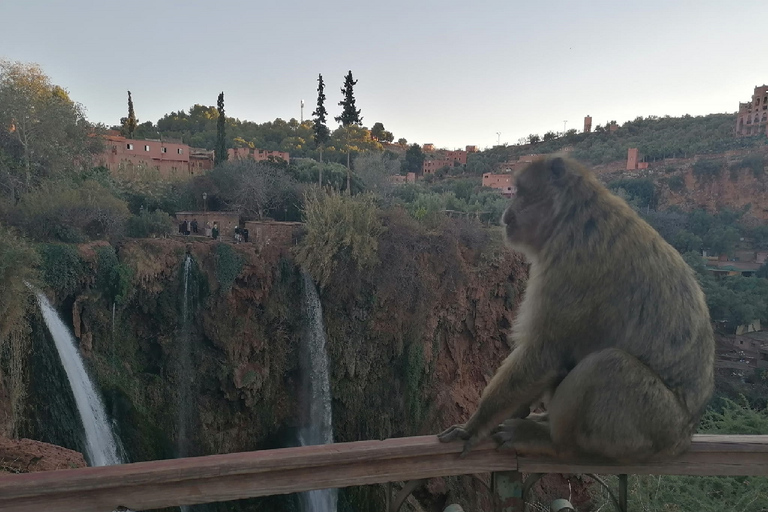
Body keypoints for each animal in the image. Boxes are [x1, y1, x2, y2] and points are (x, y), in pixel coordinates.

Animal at [438, 154, 712, 462]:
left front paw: (474, 426)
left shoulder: (570, 267)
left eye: (520, 192)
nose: (506, 214)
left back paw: (554, 442)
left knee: (607, 364)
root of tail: (683, 439)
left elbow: (545, 353)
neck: (572, 217)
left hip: (652, 425)